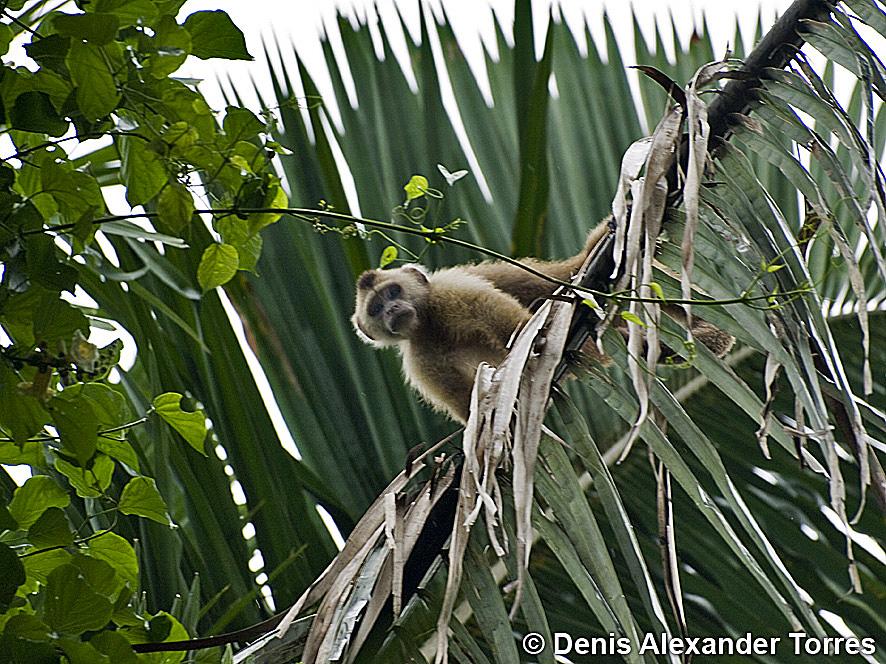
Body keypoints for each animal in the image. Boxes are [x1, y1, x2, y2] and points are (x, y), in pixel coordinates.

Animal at [352, 220, 733, 422]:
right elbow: (462, 399)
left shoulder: (448, 290)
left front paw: (534, 342)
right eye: (376, 308)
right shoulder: (420, 359)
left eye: (393, 291)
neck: (428, 322)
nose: (391, 310)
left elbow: (496, 313)